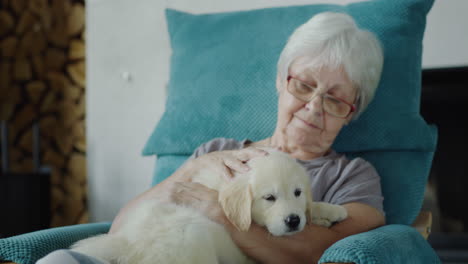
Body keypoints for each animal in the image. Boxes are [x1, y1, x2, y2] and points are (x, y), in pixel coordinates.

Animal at [72, 151, 348, 264]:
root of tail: (127, 244)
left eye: (297, 193)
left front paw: (329, 211)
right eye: (269, 197)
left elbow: (313, 205)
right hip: (193, 241)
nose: (293, 220)